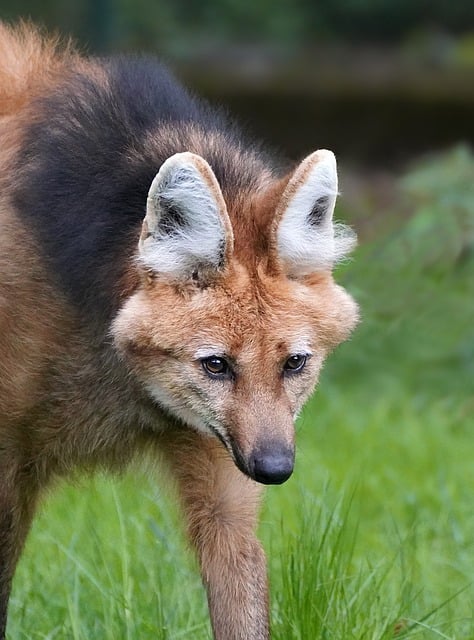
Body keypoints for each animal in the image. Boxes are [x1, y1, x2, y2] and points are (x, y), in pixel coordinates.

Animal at [0, 22, 359, 640]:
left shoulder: (223, 467)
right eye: (215, 364)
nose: (276, 469)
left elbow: (238, 580)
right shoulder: (8, 464)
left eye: (294, 363)